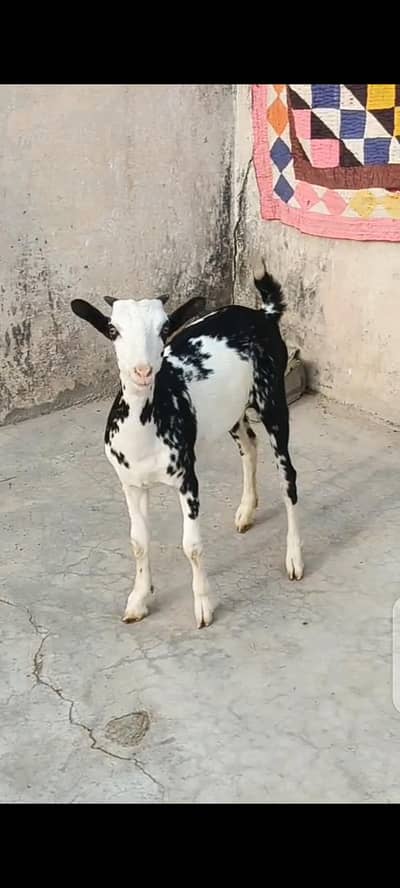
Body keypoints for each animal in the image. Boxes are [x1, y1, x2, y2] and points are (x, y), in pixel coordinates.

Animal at [71, 263, 304, 628]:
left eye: (165, 327)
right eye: (112, 329)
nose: (142, 371)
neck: (145, 427)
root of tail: (262, 314)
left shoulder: (186, 478)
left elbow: (191, 545)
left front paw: (204, 606)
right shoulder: (130, 484)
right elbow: (138, 542)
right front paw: (138, 600)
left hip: (272, 399)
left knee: (288, 475)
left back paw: (294, 557)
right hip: (231, 411)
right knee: (249, 446)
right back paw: (246, 511)